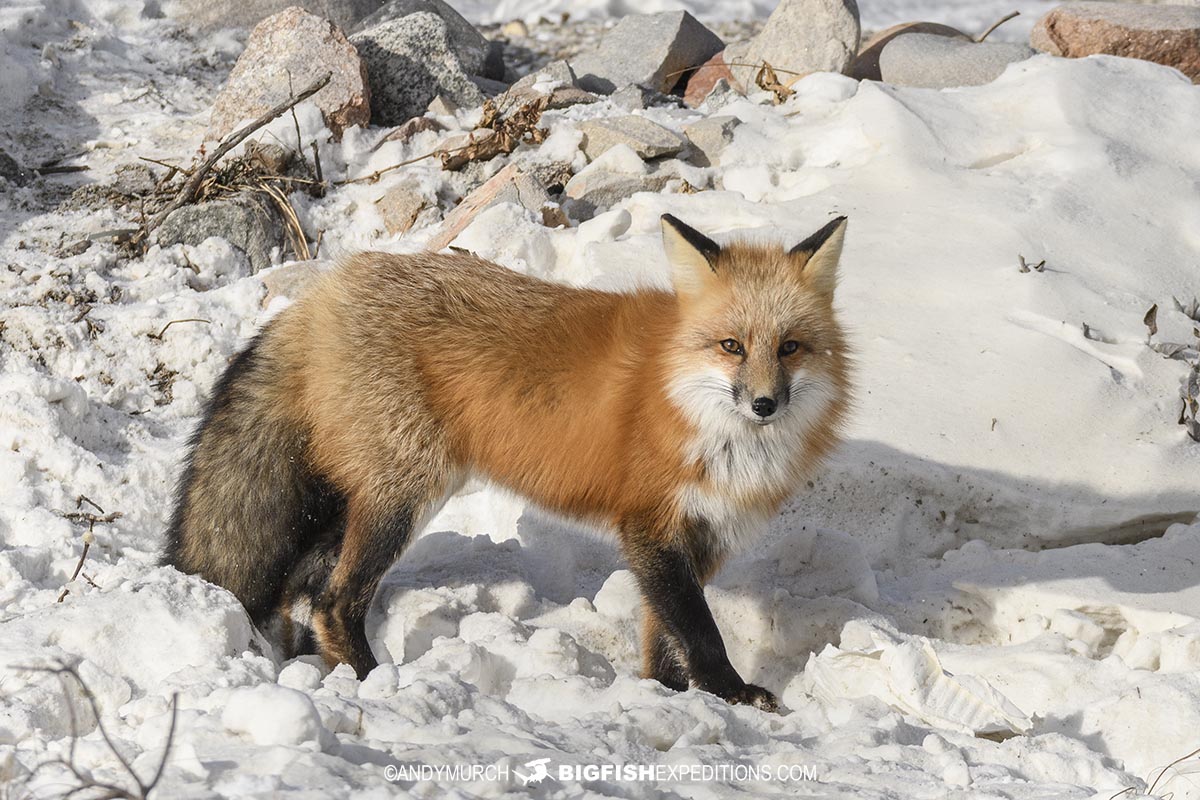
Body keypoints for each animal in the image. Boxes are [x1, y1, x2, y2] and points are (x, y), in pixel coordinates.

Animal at [163, 213, 851, 711]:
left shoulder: (702, 535)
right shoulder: (651, 526)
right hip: (402, 494)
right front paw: (732, 694)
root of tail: (330, 285)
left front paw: (667, 696)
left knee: (304, 588)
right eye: (731, 346)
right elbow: (698, 629)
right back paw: (374, 682)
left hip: (350, 502)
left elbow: (663, 632)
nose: (764, 404)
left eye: (790, 348)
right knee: (335, 600)